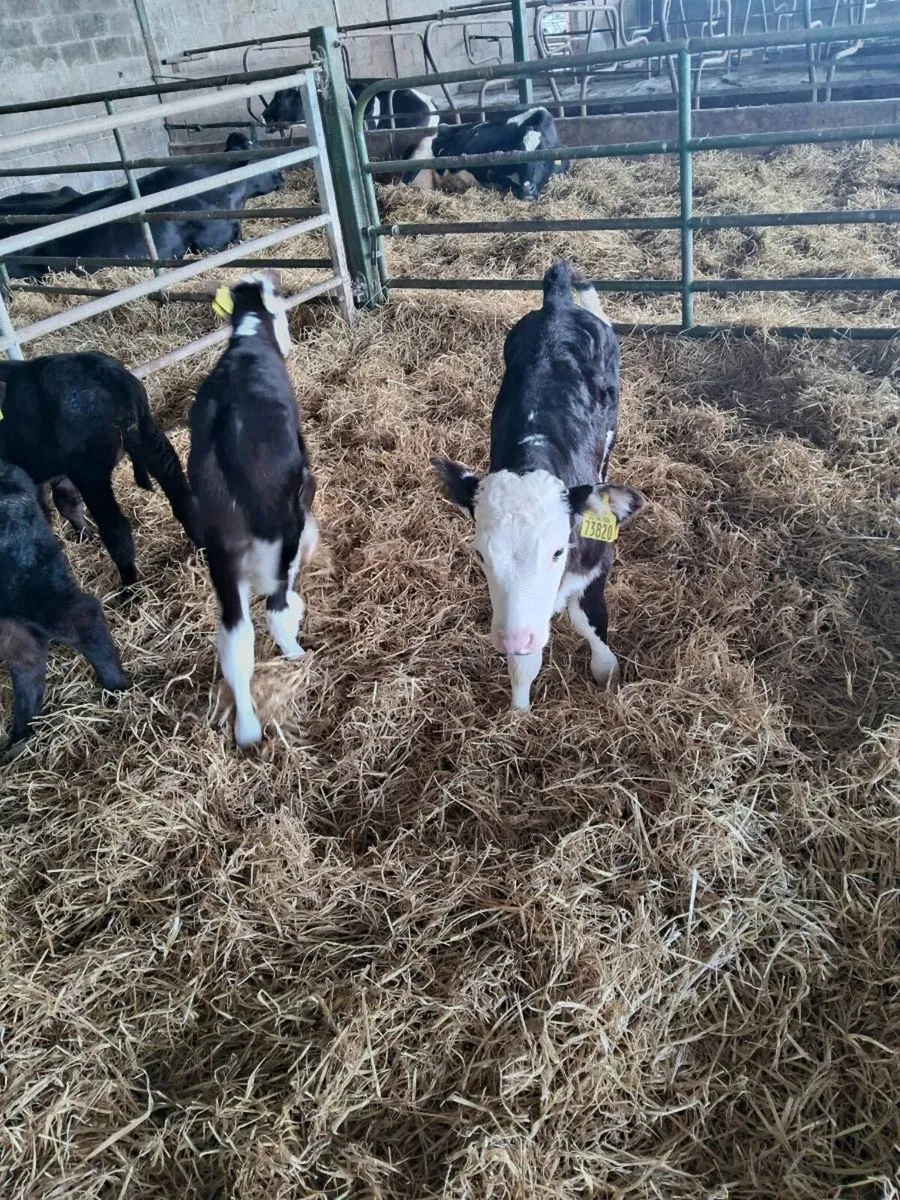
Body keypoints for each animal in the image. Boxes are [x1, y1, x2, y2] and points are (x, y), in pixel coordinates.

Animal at [0, 352, 200, 590]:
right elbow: (65, 503)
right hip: (151, 437)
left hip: (90, 471)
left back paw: (129, 587)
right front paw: (85, 535)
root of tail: (102, 370)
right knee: (182, 497)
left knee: (116, 527)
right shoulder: (56, 472)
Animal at [188, 274, 318, 748]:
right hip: (283, 527)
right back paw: (297, 653)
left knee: (235, 638)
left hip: (221, 552)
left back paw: (246, 729)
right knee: (276, 609)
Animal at [432, 262, 644, 712]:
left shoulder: (597, 560)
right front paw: (519, 710)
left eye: (558, 551)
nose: (512, 637)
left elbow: (590, 620)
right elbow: (525, 661)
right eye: (480, 554)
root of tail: (558, 304)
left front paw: (608, 673)